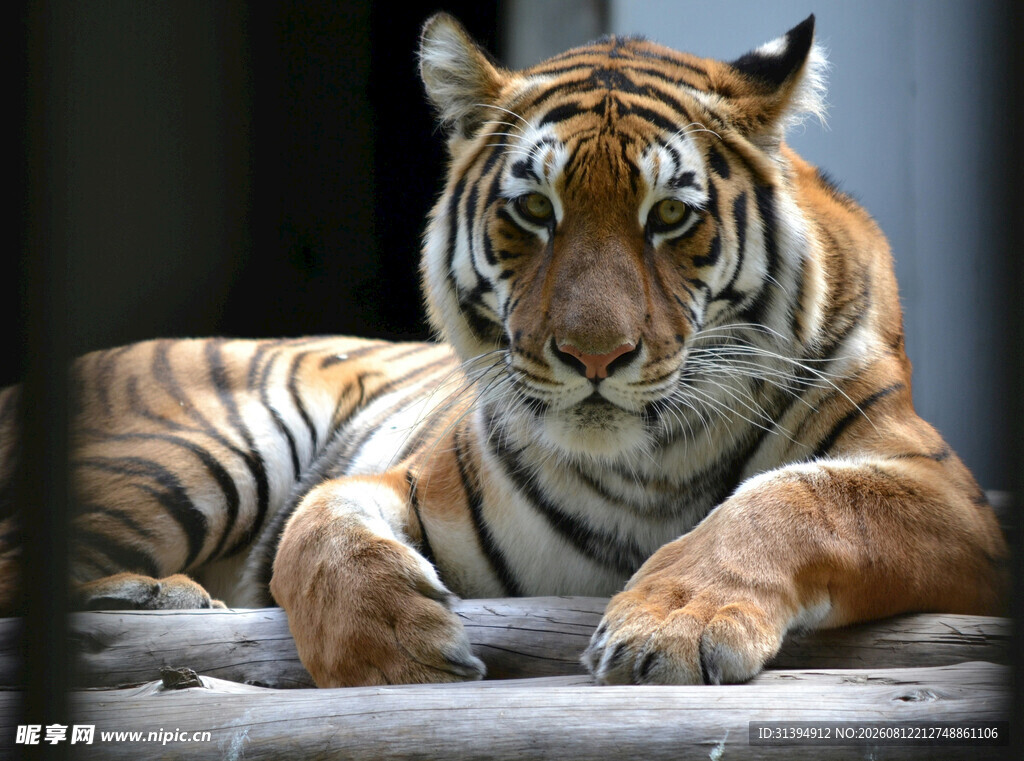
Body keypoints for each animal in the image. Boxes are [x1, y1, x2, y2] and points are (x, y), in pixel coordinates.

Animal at [0, 13, 1008, 688]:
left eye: (669, 215)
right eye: (533, 209)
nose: (595, 355)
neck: (645, 467)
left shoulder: (944, 494)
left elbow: (798, 501)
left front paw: (671, 628)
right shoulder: (406, 476)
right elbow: (318, 525)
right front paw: (393, 654)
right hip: (196, 447)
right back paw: (147, 596)